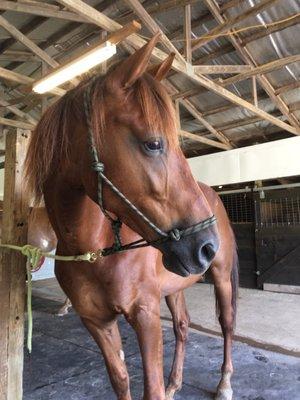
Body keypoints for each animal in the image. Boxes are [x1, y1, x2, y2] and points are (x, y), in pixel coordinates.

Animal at [24, 34, 238, 400]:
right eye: (153, 144)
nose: (207, 246)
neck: (95, 250)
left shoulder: (146, 314)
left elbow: (150, 388)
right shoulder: (97, 322)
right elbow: (120, 379)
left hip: (221, 276)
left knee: (226, 323)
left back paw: (224, 382)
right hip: (175, 284)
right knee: (182, 326)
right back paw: (175, 382)